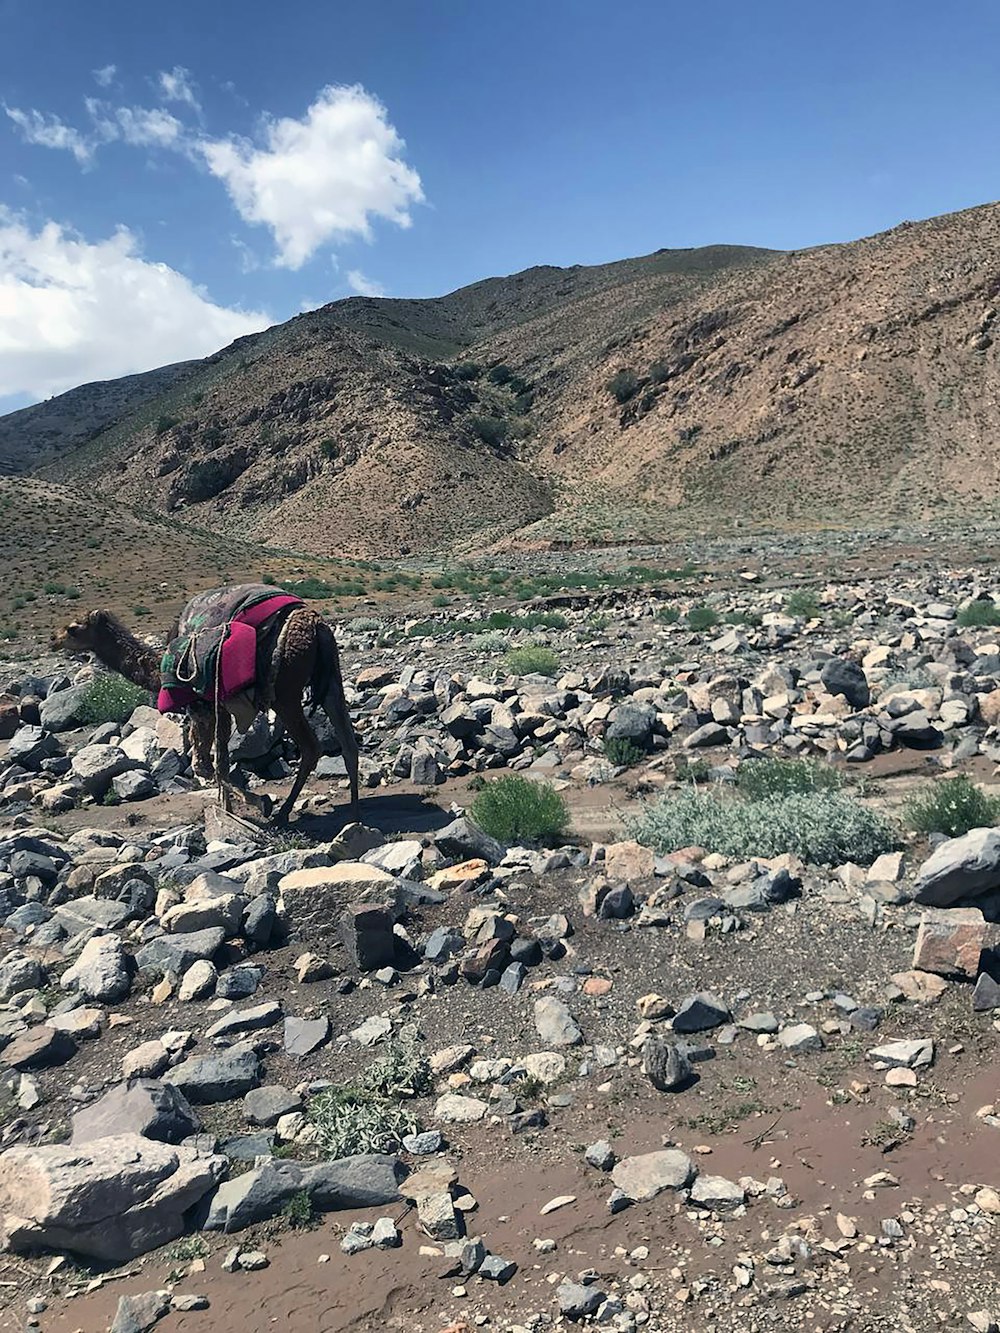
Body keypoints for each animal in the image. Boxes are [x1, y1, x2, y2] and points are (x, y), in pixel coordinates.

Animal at [54, 597, 360, 821]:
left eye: (73, 628)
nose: (53, 639)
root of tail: (317, 627)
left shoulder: (203, 705)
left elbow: (208, 764)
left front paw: (254, 804)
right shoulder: (220, 706)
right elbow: (219, 761)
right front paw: (232, 808)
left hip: (285, 692)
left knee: (311, 747)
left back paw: (283, 813)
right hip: (330, 678)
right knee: (347, 741)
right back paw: (355, 810)